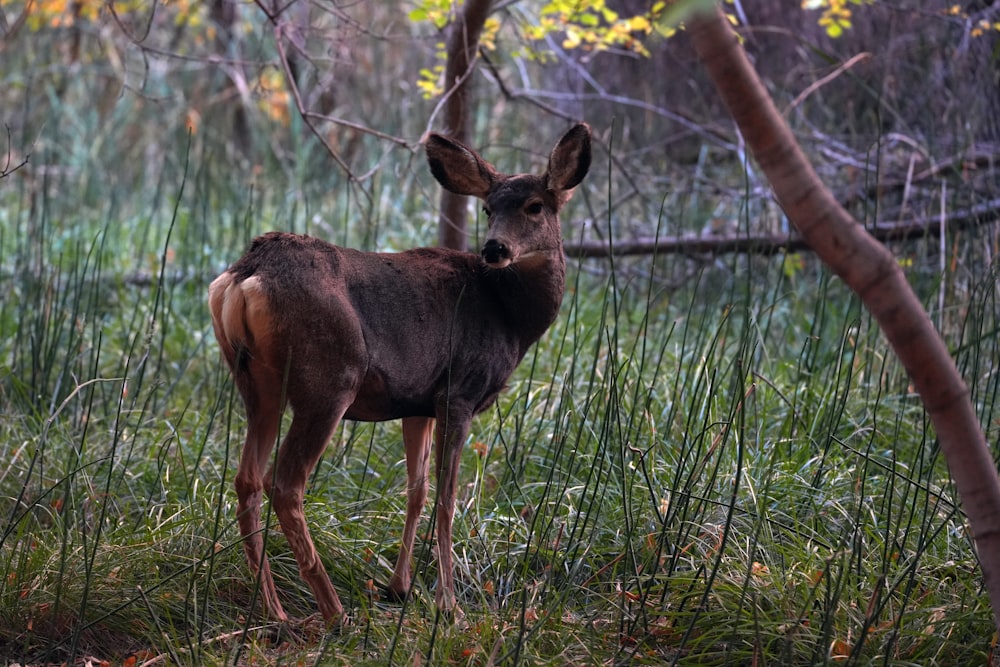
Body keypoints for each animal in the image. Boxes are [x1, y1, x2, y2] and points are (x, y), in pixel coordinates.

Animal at [207, 122, 588, 628]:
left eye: (534, 205)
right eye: (488, 208)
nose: (494, 248)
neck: (509, 318)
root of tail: (247, 273)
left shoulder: (418, 402)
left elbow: (417, 490)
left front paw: (400, 587)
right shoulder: (459, 392)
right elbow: (447, 498)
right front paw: (449, 605)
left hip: (256, 381)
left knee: (247, 479)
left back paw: (275, 612)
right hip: (330, 379)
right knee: (285, 484)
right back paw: (334, 612)